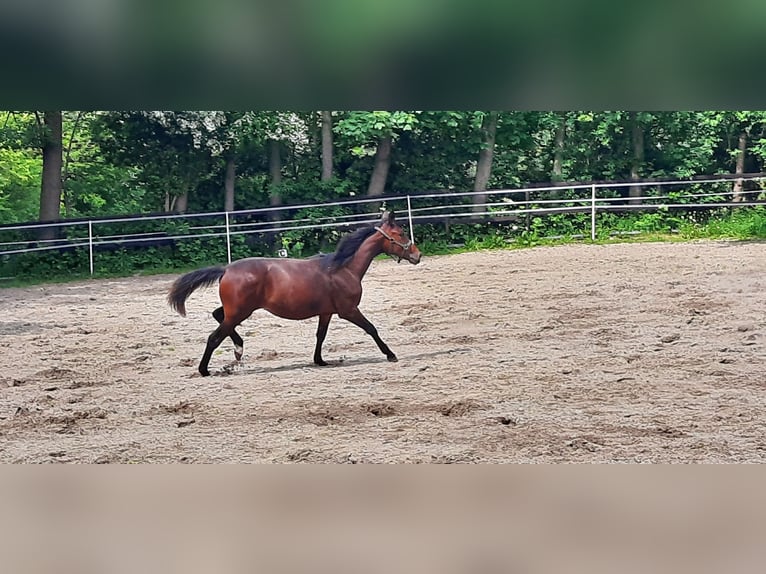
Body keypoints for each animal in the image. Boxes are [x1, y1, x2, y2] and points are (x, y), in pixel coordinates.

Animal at [166, 212, 426, 378]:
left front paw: (320, 360)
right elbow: (371, 328)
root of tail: (227, 269)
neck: (343, 269)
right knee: (214, 337)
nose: (417, 255)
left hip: (236, 311)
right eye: (400, 232)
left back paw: (238, 349)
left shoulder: (327, 312)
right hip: (240, 311)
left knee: (218, 316)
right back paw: (205, 369)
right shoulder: (348, 310)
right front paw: (390, 354)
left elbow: (320, 335)